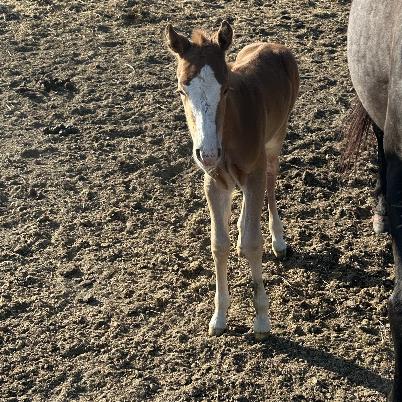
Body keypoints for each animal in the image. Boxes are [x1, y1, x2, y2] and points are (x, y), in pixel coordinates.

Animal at [166, 21, 299, 339]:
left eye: (225, 89)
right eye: (181, 90)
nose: (207, 153)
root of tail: (275, 45)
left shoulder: (254, 173)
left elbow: (253, 242)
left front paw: (262, 320)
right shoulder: (214, 182)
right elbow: (218, 244)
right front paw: (219, 317)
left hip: (274, 141)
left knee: (272, 183)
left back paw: (278, 240)